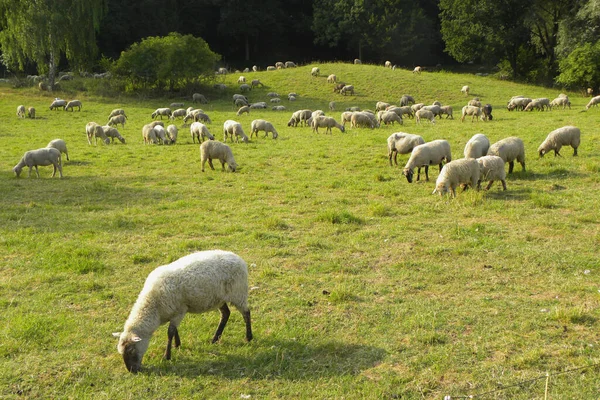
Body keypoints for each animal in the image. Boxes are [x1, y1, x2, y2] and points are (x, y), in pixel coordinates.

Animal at [113, 250, 252, 372]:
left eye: (131, 350)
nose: (132, 371)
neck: (153, 307)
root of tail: (239, 259)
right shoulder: (173, 311)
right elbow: (174, 331)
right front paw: (177, 345)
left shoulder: (180, 311)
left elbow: (170, 332)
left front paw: (167, 356)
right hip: (219, 298)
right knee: (225, 314)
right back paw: (215, 339)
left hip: (238, 293)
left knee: (246, 313)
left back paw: (248, 337)